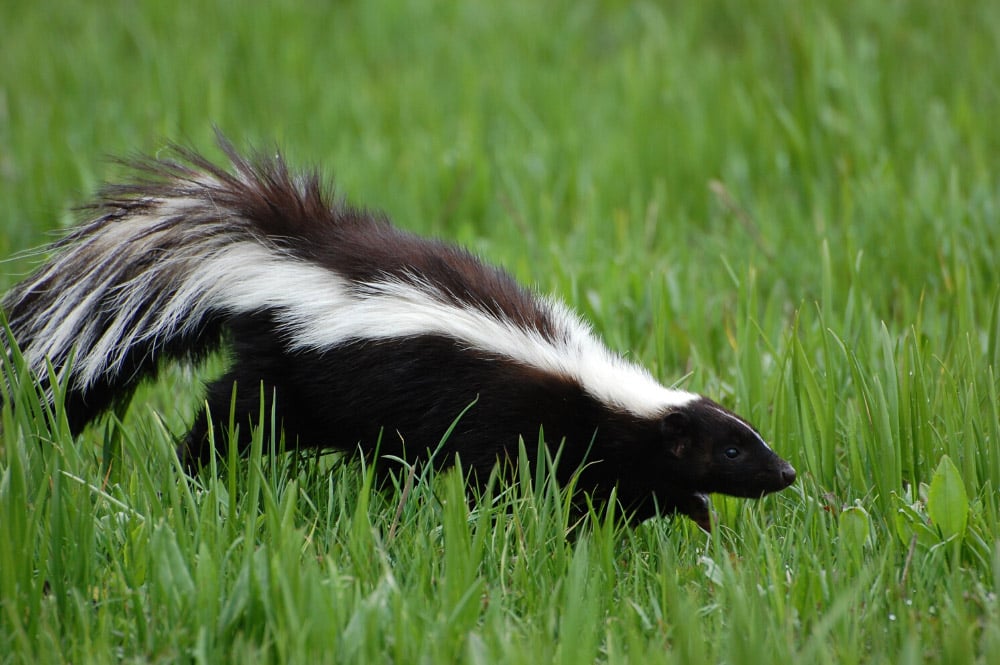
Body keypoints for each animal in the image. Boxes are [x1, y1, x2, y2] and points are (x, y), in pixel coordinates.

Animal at [1, 139, 796, 528]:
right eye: (734, 448)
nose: (788, 472)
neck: (600, 390)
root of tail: (283, 252)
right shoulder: (517, 420)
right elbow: (518, 482)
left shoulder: (606, 447)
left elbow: (622, 488)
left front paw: (694, 517)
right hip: (298, 371)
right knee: (235, 414)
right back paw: (197, 470)